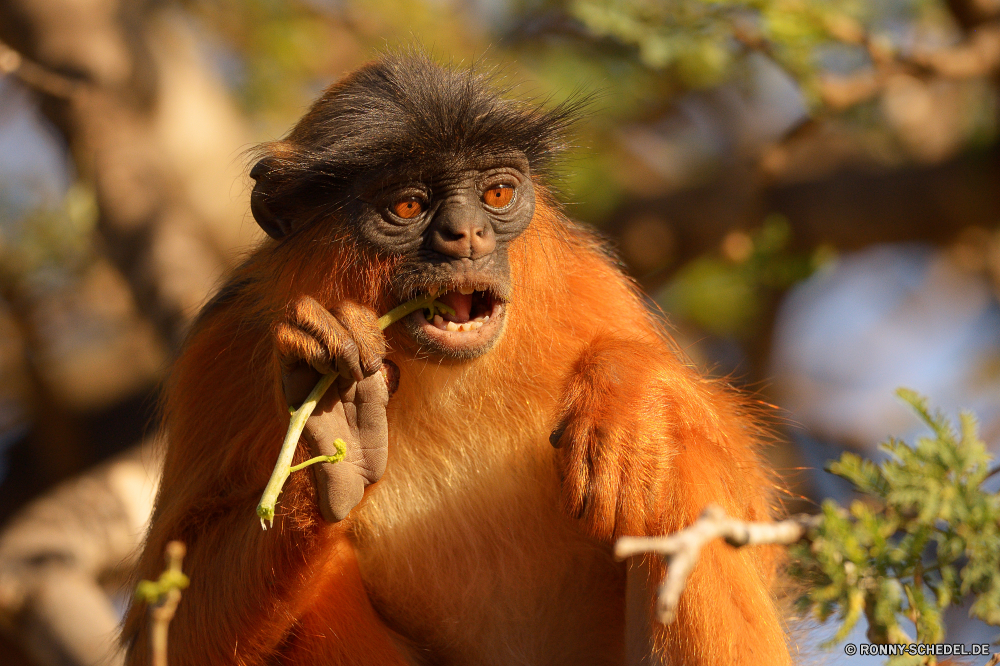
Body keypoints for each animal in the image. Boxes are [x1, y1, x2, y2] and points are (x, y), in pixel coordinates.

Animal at [121, 53, 792, 664]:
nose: (467, 235)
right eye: (408, 206)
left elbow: (756, 525)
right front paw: (336, 432)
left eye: (497, 192)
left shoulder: (585, 283)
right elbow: (170, 633)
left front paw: (631, 398)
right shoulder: (227, 345)